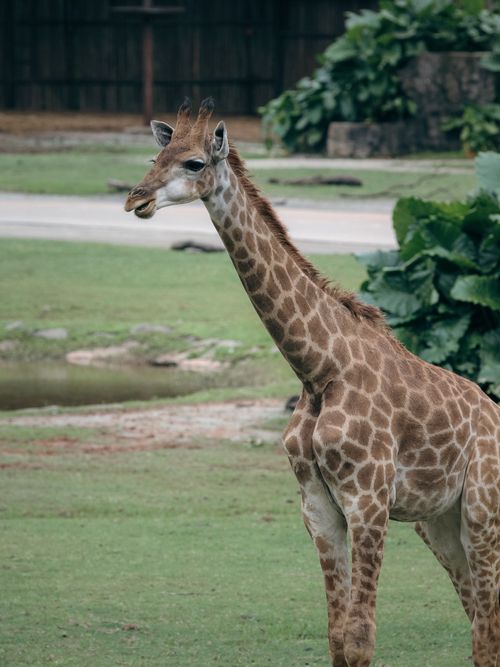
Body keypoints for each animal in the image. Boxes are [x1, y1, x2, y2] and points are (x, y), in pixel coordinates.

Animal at [124, 98, 500, 667]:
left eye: (193, 163)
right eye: (155, 156)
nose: (135, 199)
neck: (319, 369)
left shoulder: (369, 501)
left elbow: (361, 638)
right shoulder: (319, 508)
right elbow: (338, 638)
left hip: (482, 510)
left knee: (487, 625)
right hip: (439, 523)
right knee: (481, 623)